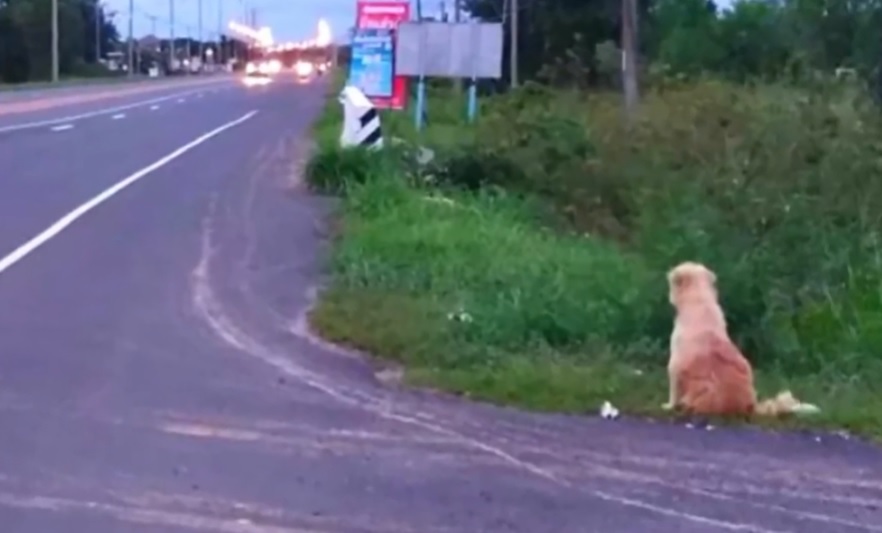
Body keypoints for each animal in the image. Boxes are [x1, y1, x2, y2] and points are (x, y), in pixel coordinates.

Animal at [660, 262, 820, 416]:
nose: (668, 272)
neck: (699, 298)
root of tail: (750, 407)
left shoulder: (675, 365)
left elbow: (673, 391)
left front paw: (668, 406)